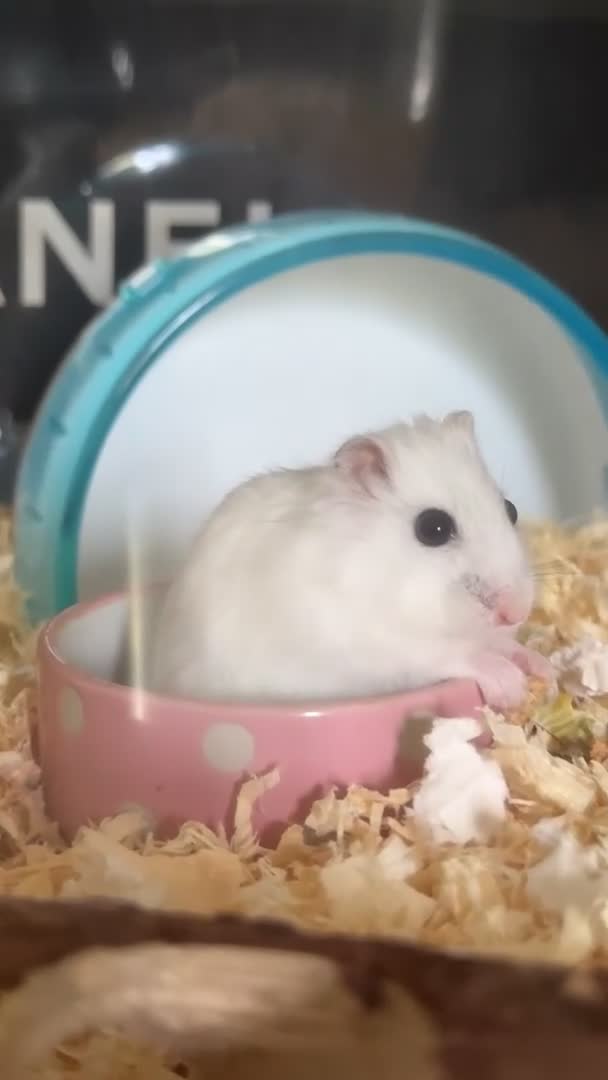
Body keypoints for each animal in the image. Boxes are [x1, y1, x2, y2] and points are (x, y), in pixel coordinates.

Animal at [150, 411, 552, 710]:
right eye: (433, 528)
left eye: (511, 509)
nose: (517, 612)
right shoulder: (384, 645)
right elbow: (453, 654)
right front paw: (511, 686)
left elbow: (501, 645)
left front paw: (542, 667)